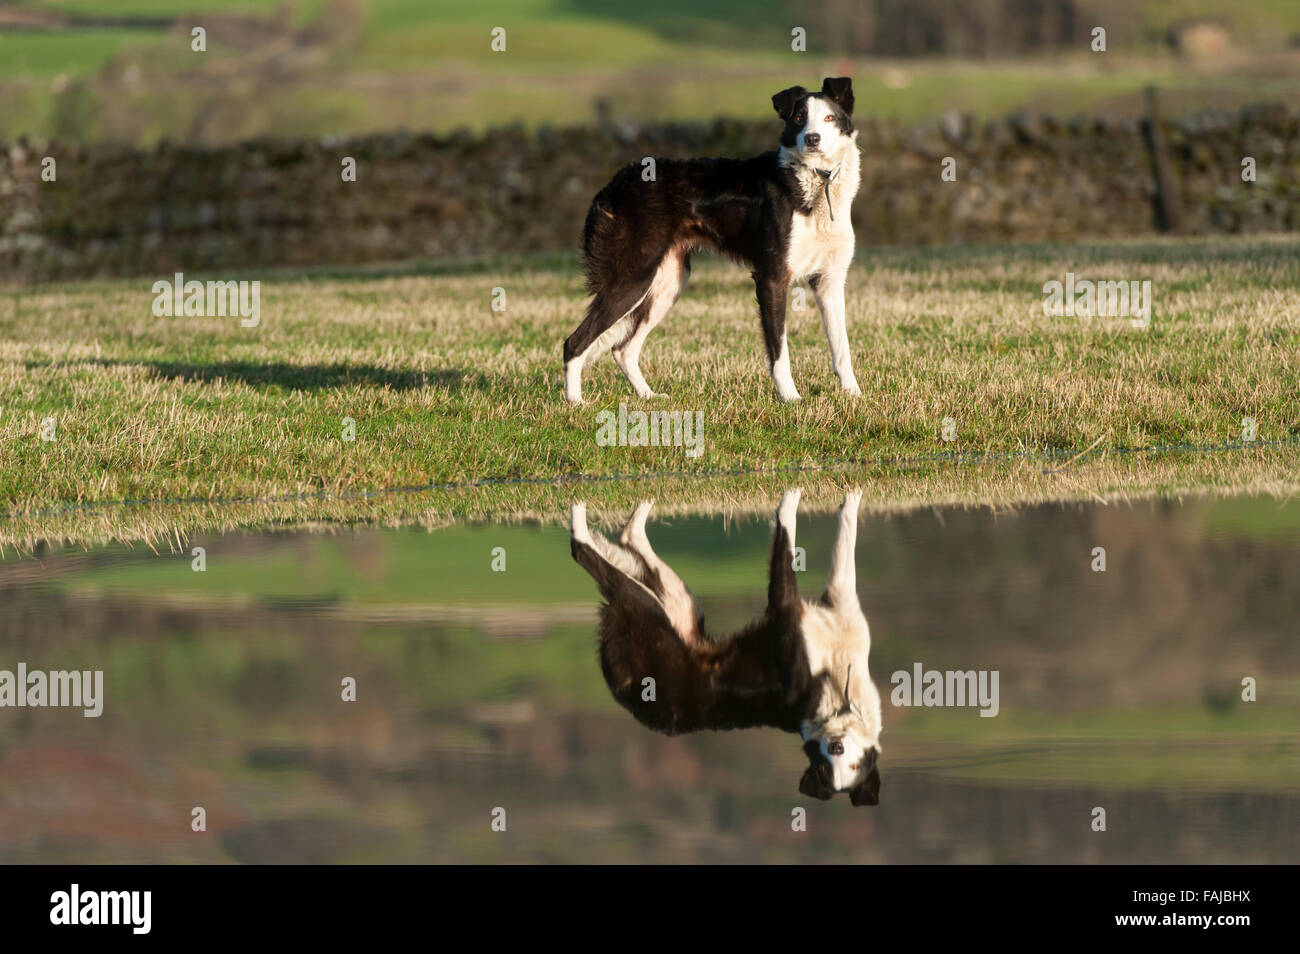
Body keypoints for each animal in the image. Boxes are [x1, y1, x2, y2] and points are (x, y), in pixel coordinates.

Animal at [561, 76, 857, 402]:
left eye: (829, 118)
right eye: (799, 118)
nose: (812, 139)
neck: (817, 182)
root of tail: (612, 185)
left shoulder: (829, 281)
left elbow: (842, 349)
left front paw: (853, 394)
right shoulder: (772, 278)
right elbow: (780, 354)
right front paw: (791, 399)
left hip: (667, 283)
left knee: (622, 349)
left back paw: (649, 397)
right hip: (632, 279)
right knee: (574, 343)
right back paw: (576, 403)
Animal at [572, 493, 883, 805]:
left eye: (851, 766)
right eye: (824, 765)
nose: (835, 747)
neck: (835, 694)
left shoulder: (819, 608)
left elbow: (818, 544)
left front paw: (825, 499)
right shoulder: (797, 610)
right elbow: (805, 539)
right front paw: (804, 499)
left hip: (671, 605)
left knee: (618, 540)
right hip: (658, 604)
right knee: (584, 549)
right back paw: (587, 510)